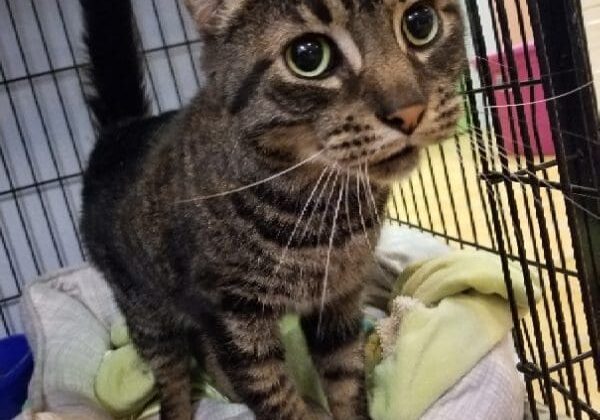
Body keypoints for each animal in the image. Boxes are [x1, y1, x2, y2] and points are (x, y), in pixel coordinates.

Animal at [78, 0, 464, 418]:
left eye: (420, 22)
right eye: (308, 56)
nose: (409, 111)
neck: (325, 212)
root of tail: (120, 130)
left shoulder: (339, 299)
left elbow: (346, 383)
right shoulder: (235, 319)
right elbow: (278, 400)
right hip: (146, 310)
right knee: (172, 374)